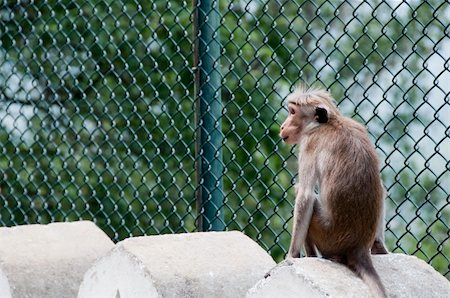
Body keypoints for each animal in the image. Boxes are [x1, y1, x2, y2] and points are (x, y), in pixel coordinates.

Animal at [278, 85, 386, 296]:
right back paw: (377, 245)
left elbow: (305, 195)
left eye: (292, 112)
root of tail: (358, 247)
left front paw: (291, 256)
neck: (328, 123)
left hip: (327, 236)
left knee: (308, 200)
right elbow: (382, 188)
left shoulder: (309, 144)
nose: (282, 126)